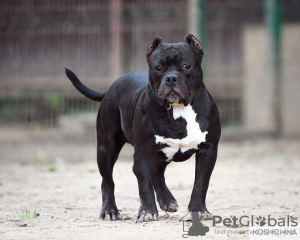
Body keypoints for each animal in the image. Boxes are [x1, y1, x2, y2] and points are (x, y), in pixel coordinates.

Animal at [65, 34, 220, 223]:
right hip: (106, 148)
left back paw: (167, 200)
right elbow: (144, 184)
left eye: (186, 65)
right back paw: (110, 210)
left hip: (161, 154)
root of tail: (110, 88)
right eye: (158, 67)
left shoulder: (208, 150)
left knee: (157, 173)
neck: (178, 110)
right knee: (108, 181)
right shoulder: (143, 151)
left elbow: (200, 183)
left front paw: (198, 211)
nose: (171, 78)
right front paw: (147, 212)